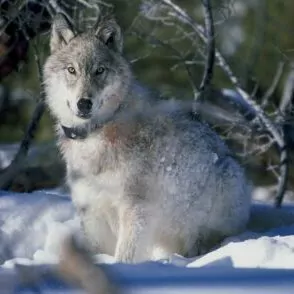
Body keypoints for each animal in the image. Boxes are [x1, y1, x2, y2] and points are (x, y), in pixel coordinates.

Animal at [43, 13, 250, 262]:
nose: (84, 103)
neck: (97, 133)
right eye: (71, 70)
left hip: (220, 187)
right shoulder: (91, 211)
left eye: (99, 70)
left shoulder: (136, 208)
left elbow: (126, 254)